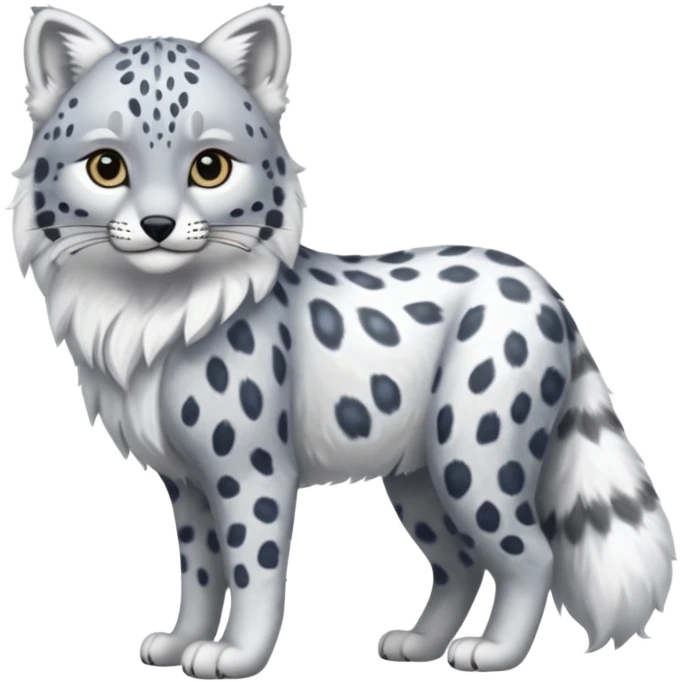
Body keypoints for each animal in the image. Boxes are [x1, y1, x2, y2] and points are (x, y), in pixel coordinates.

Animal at [9, 3, 677, 678]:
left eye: (210, 167)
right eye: (106, 166)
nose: (157, 226)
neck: (156, 315)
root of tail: (540, 283)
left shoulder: (252, 472)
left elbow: (252, 570)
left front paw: (238, 653)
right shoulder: (187, 483)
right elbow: (199, 573)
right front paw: (179, 641)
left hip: (472, 457)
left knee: (531, 553)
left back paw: (494, 652)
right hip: (417, 477)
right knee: (460, 563)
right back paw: (420, 644)